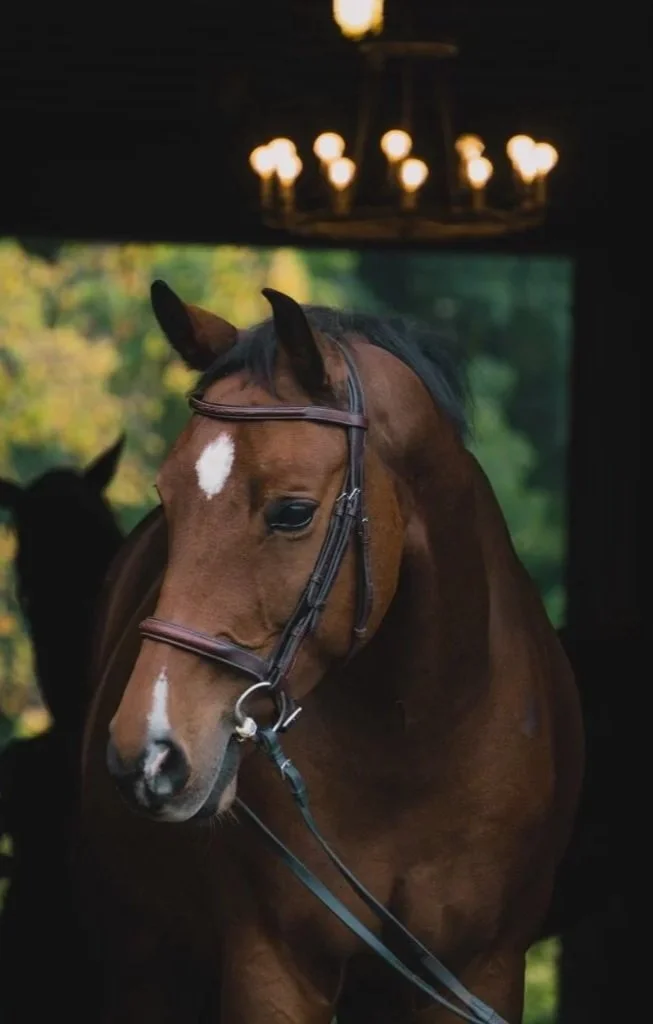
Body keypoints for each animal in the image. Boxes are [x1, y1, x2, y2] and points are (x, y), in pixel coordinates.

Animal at [79, 281, 584, 1024]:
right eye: (168, 502)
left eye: (292, 512)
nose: (148, 752)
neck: (413, 738)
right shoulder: (275, 969)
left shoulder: (479, 973)